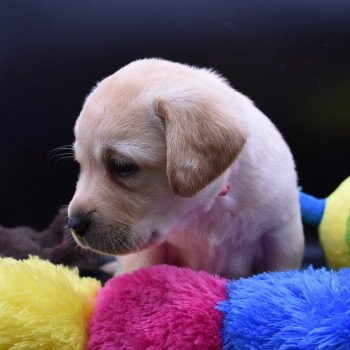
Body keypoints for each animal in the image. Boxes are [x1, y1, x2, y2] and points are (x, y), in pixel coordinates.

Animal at [67, 59, 304, 278]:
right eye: (81, 165)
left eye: (122, 166)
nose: (73, 224)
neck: (208, 207)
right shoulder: (147, 253)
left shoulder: (282, 236)